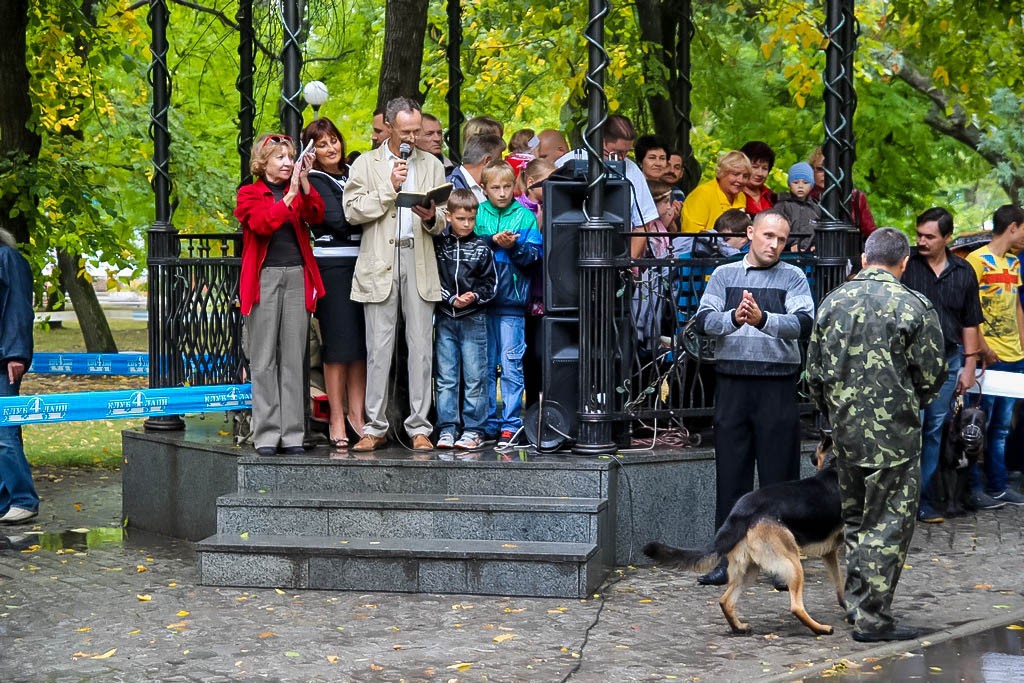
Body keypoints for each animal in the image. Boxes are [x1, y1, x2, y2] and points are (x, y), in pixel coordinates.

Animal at [643, 438, 843, 634]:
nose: (810, 456)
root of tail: (740, 511)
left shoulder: (830, 552)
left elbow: (839, 583)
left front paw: (846, 605)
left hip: (749, 569)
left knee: (725, 600)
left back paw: (738, 627)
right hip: (792, 563)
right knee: (796, 606)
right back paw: (821, 629)